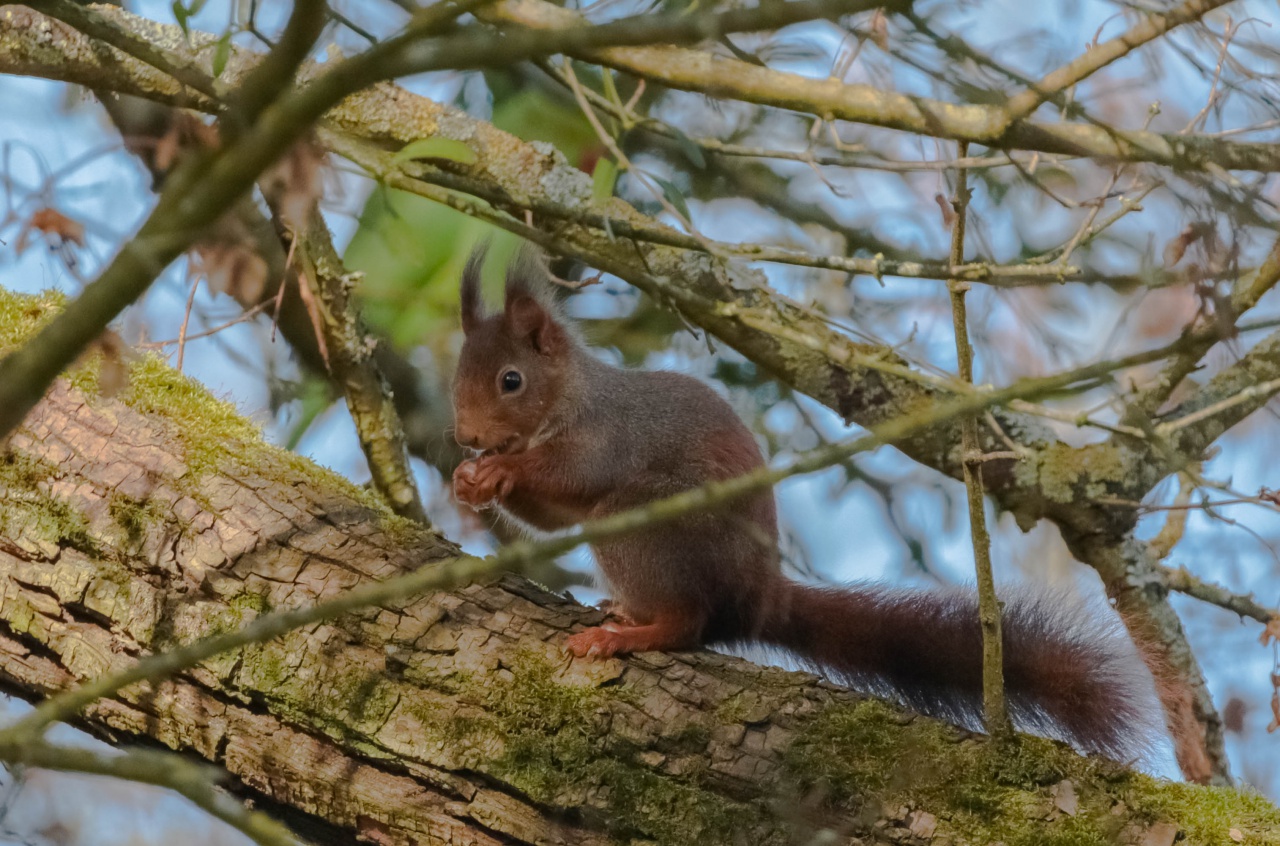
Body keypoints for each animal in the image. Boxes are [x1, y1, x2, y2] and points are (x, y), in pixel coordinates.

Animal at [450, 247, 1162, 762]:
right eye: (458, 375)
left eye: (511, 380)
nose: (466, 437)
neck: (570, 397)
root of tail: (758, 600)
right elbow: (546, 513)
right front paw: (468, 481)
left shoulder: (609, 435)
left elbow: (575, 476)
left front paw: (500, 469)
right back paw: (622, 610)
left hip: (649, 528)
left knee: (688, 624)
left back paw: (627, 635)